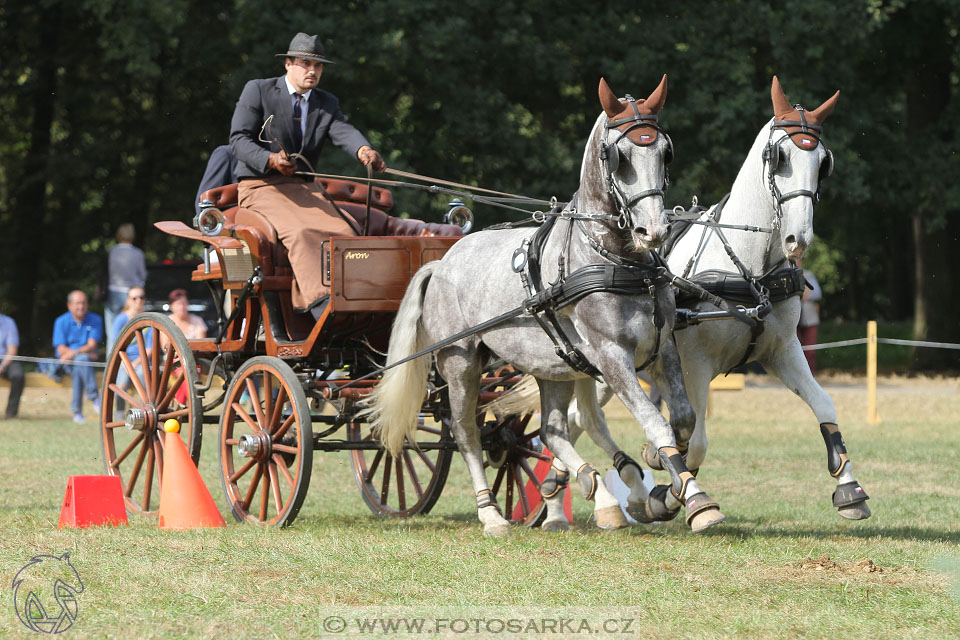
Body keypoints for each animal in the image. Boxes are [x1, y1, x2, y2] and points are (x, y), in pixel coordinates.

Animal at [364, 76, 724, 536]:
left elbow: (681, 421)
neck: (618, 262)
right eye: (620, 156)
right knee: (466, 432)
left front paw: (661, 488)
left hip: (553, 365)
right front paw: (695, 500)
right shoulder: (612, 356)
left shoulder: (661, 348)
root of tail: (441, 263)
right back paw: (492, 515)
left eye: (665, 151)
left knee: (554, 431)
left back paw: (602, 493)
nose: (654, 230)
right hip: (460, 363)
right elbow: (656, 422)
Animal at [510, 75, 872, 524]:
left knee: (576, 421)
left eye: (823, 161)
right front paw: (669, 493)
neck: (748, 269)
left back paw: (560, 492)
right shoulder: (695, 363)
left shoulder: (782, 350)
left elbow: (824, 405)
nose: (797, 239)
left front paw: (849, 488)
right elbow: (696, 440)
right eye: (780, 156)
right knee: (576, 421)